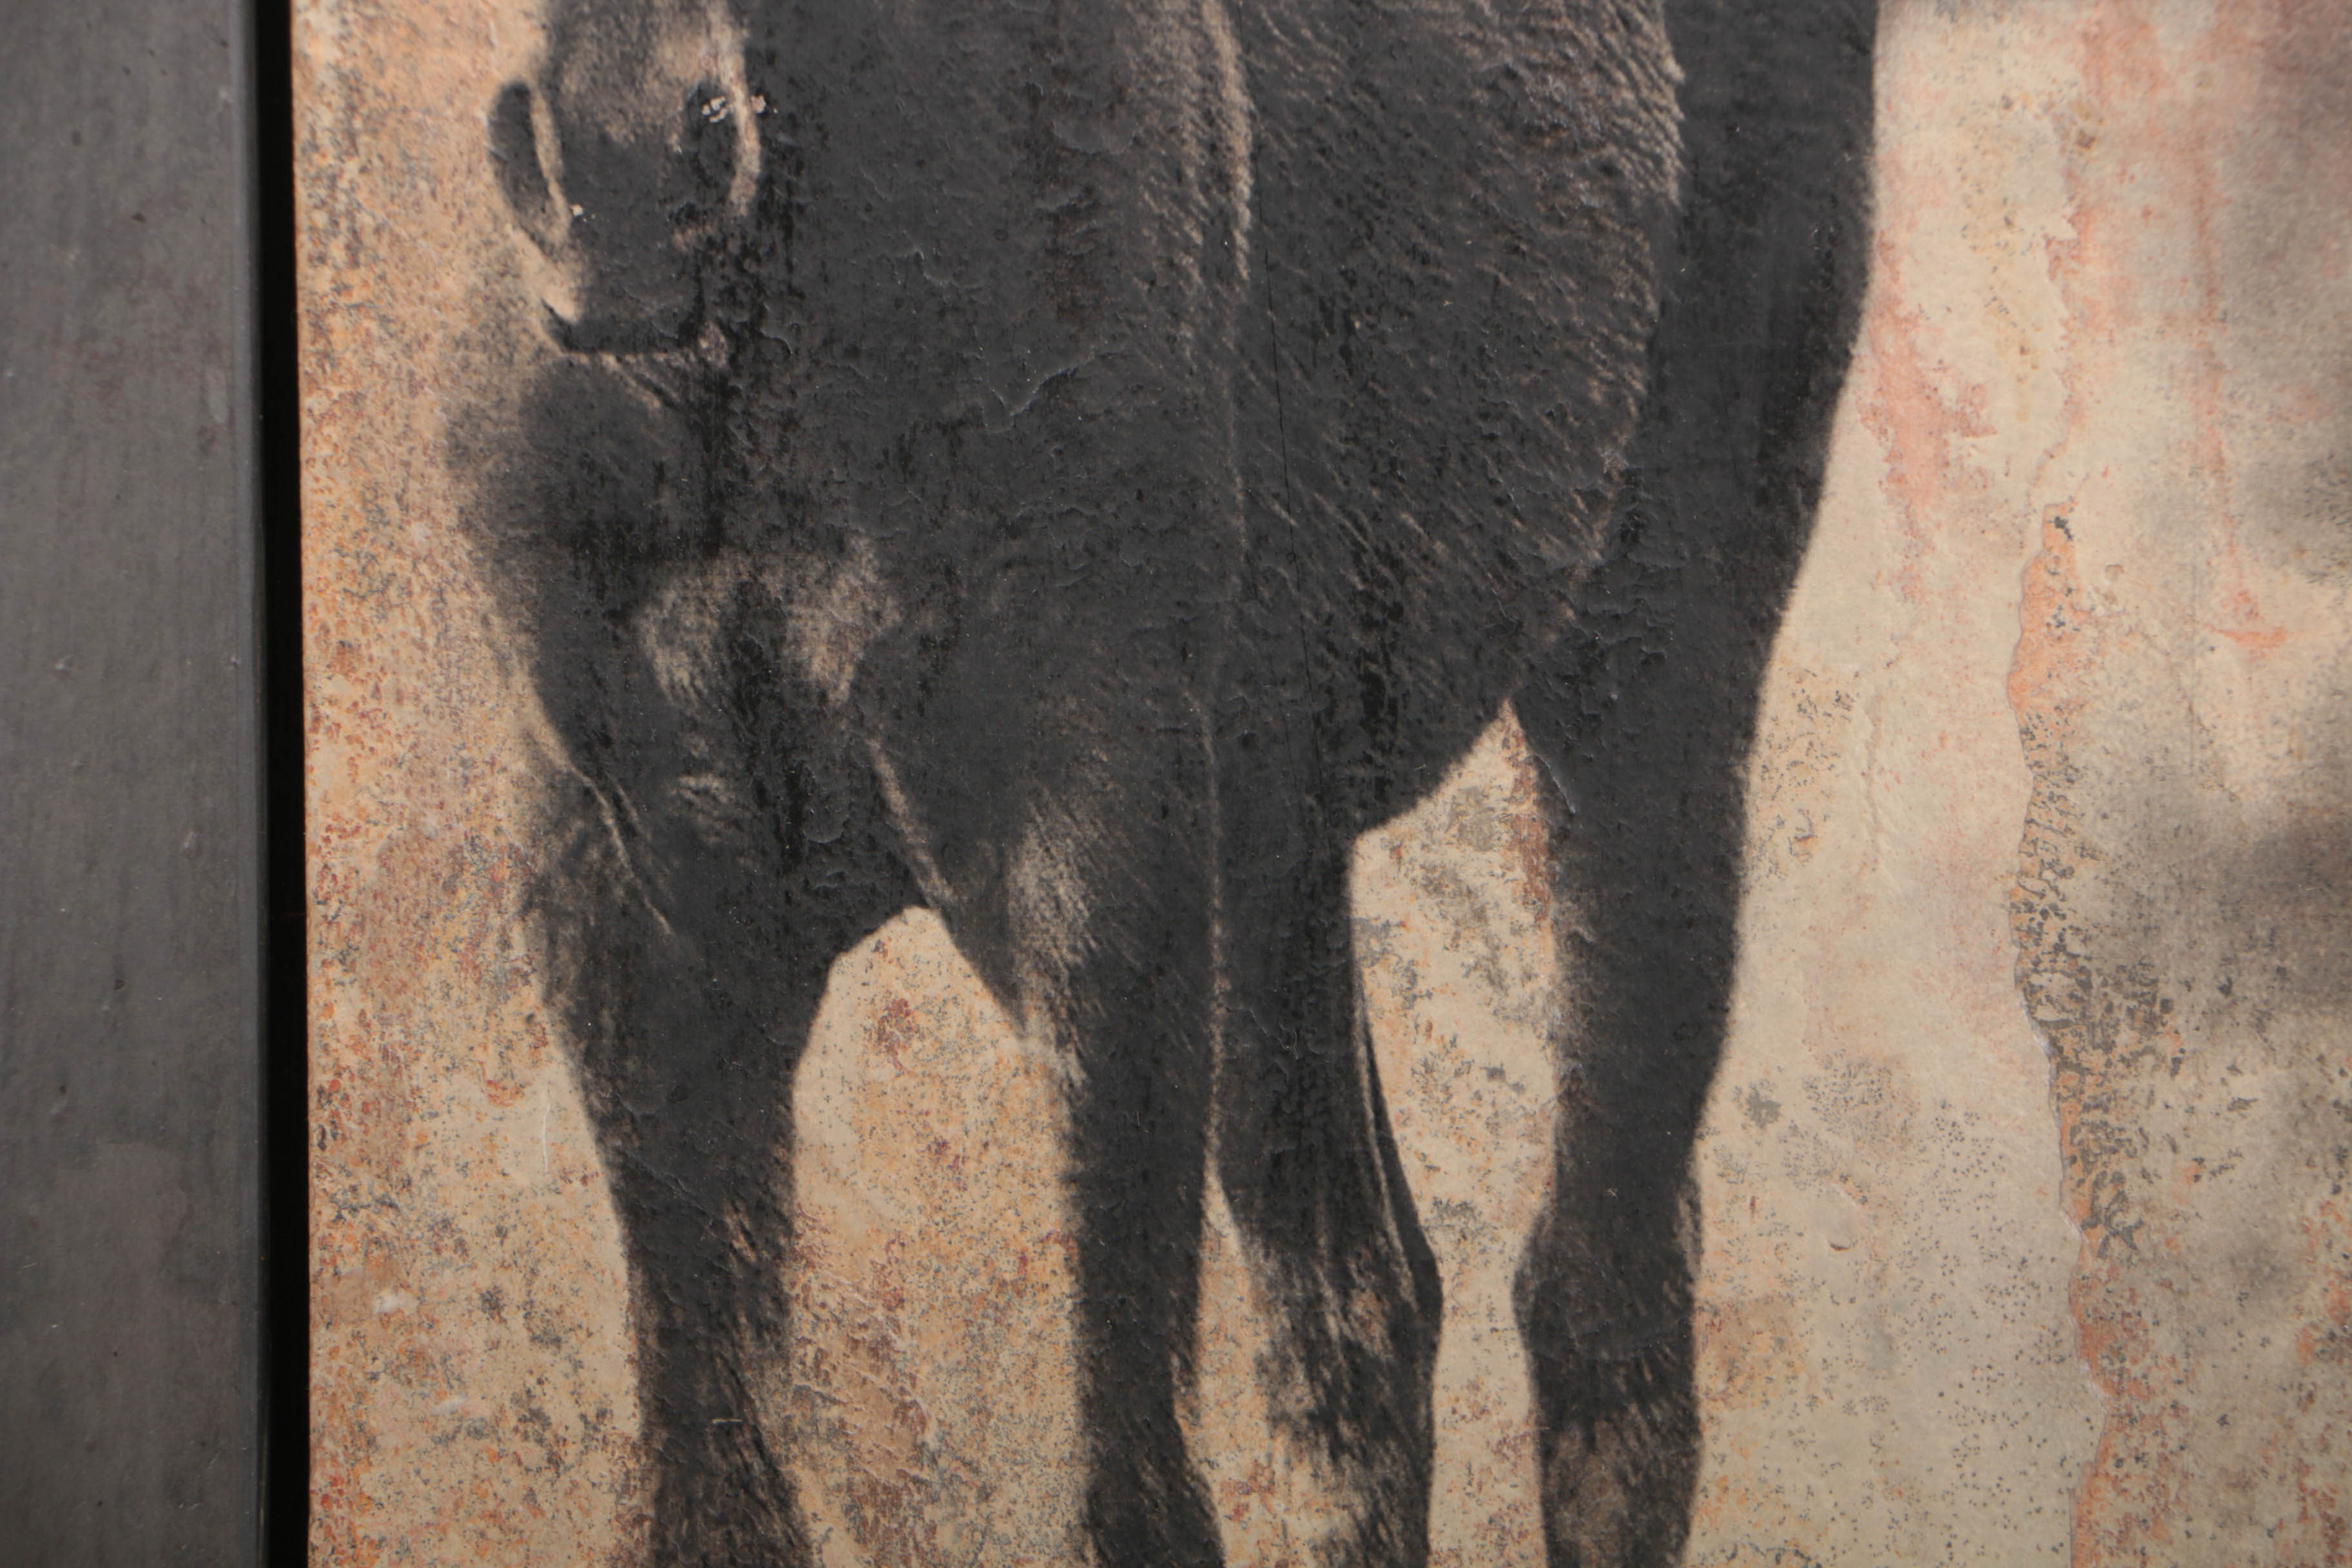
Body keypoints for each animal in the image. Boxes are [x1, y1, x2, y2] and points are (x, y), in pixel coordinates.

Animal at [462, 0, 1875, 1561]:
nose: (618, 165)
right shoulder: (641, 916)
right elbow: (710, 1482)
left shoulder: (1095, 865)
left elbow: (1129, 1478)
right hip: (1277, 846)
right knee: (1355, 1316)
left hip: (1652, 672)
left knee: (1603, 1303)